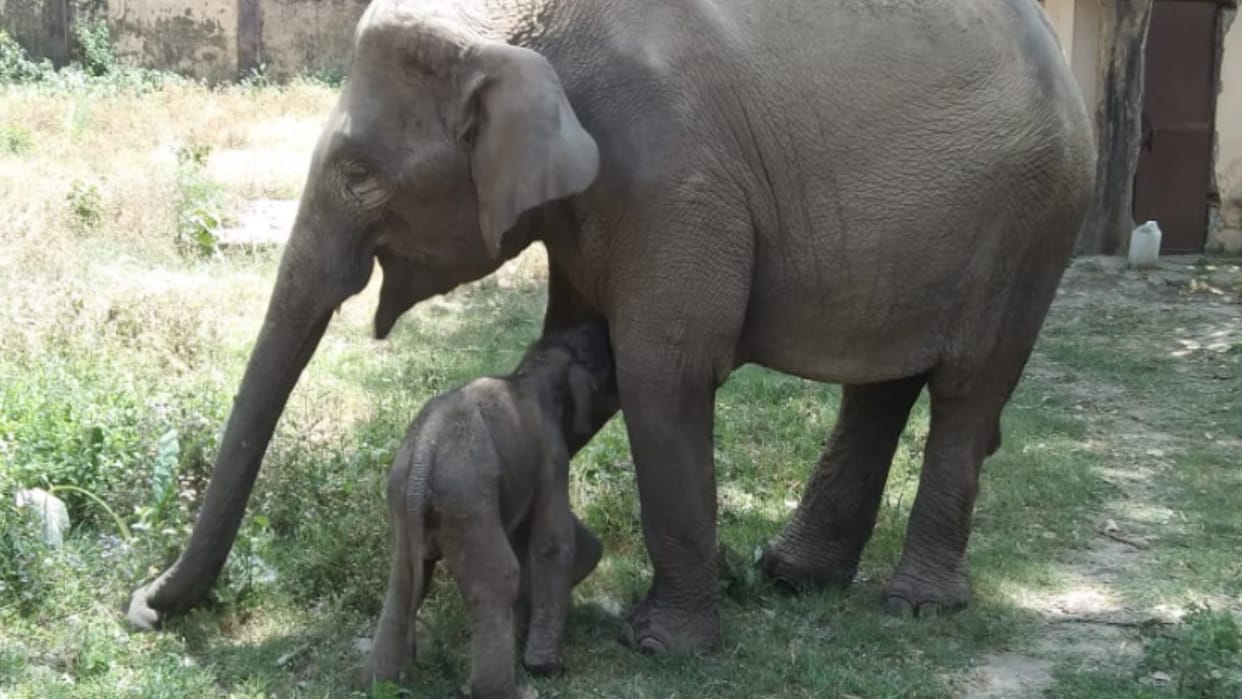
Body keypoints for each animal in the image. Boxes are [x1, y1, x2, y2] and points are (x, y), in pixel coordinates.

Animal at [126, 0, 1096, 655]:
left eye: (360, 176)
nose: (140, 604)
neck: (520, 30)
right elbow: (576, 355)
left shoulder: (670, 179)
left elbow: (664, 369)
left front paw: (660, 645)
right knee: (885, 384)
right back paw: (792, 576)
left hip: (1033, 223)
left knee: (968, 387)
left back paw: (917, 605)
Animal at [365, 321, 616, 697]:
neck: (530, 370)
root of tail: (425, 450)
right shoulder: (552, 454)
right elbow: (551, 543)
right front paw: (545, 667)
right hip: (465, 499)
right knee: (496, 578)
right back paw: (512, 691)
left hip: (403, 497)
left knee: (404, 582)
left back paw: (381, 683)